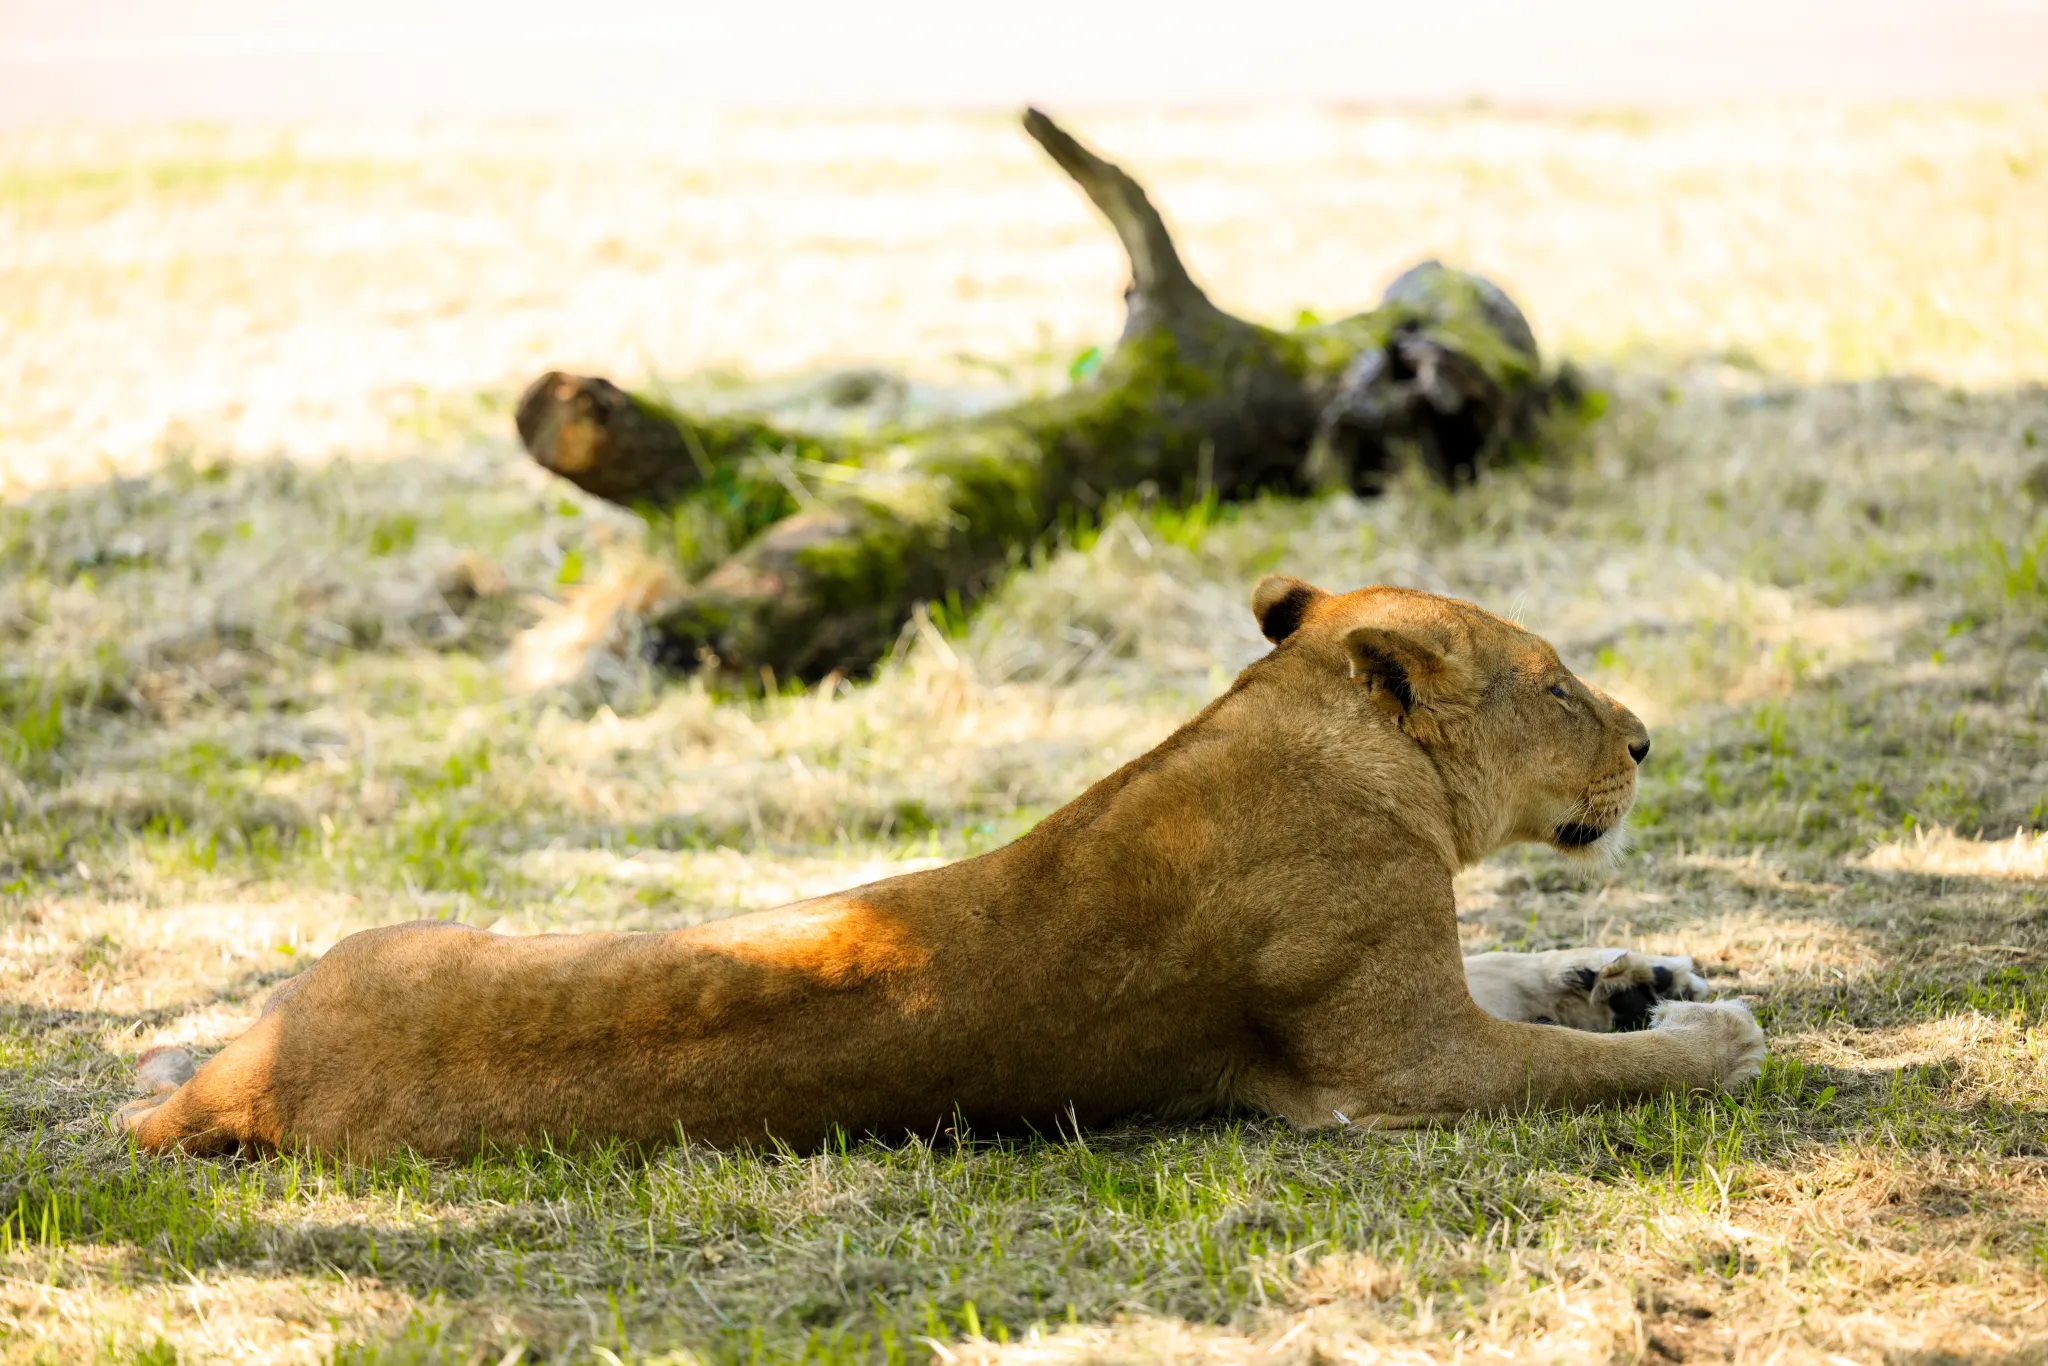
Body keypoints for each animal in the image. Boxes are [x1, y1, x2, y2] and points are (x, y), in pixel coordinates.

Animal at [120, 578, 1763, 1160]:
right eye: (1554, 686)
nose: (1645, 739)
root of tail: (241, 1085)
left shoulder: (1424, 990)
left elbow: (1529, 972)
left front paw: (1639, 971)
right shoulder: (1391, 1066)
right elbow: (1600, 1072)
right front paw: (1710, 1031)